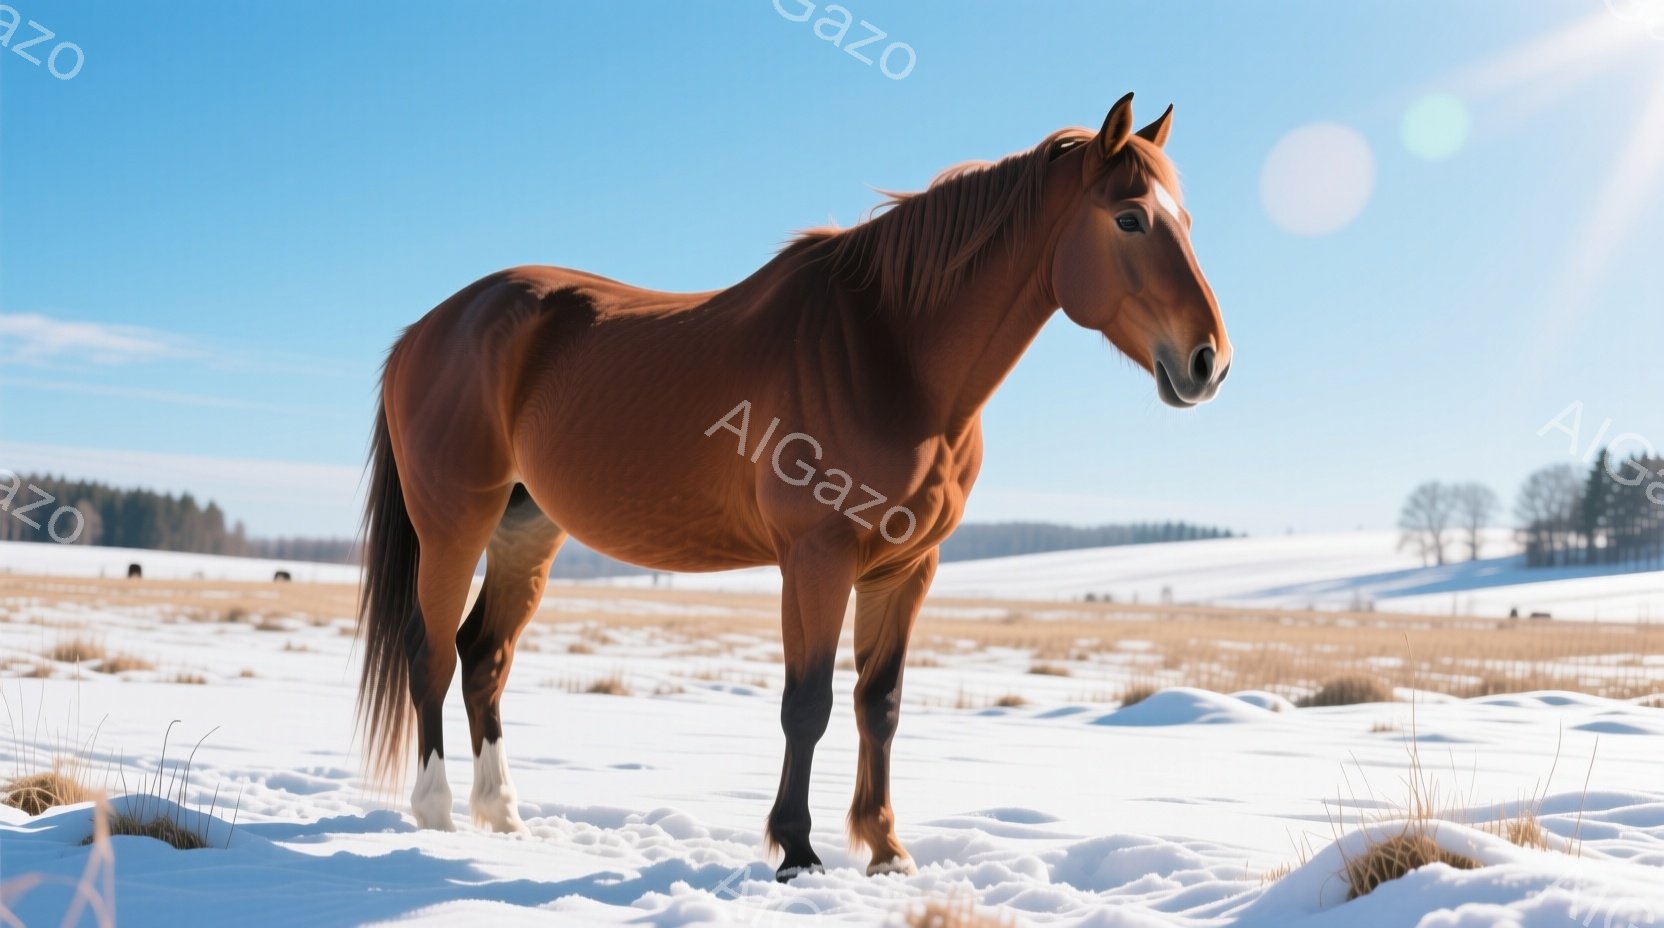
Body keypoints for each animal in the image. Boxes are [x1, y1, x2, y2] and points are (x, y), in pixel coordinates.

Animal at [355, 93, 1231, 881]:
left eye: (1186, 221)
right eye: (1129, 219)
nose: (1208, 362)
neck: (892, 353)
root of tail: (427, 330)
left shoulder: (907, 569)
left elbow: (880, 704)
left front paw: (886, 851)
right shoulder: (817, 559)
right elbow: (806, 704)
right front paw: (798, 852)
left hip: (527, 530)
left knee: (485, 655)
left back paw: (503, 817)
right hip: (455, 524)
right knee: (432, 649)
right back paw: (434, 812)